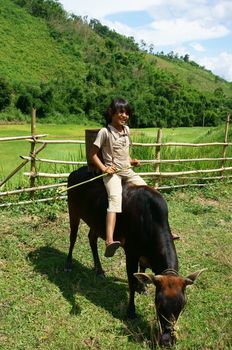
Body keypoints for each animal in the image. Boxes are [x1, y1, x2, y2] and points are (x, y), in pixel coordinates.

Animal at [65, 167, 205, 348]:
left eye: (182, 305)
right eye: (158, 303)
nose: (167, 340)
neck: (151, 220)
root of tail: (74, 172)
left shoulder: (143, 255)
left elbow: (143, 270)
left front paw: (143, 287)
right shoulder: (131, 253)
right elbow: (131, 281)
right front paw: (131, 310)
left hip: (95, 222)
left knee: (92, 238)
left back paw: (99, 269)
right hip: (73, 211)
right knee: (73, 237)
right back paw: (68, 264)